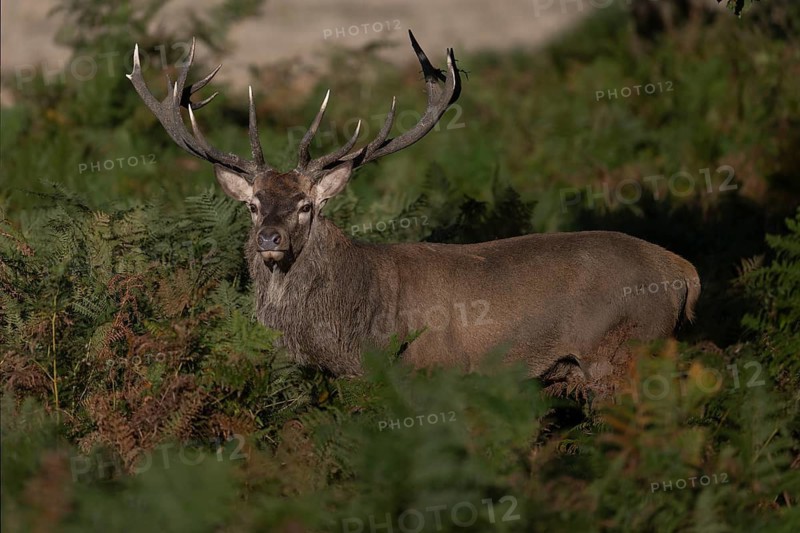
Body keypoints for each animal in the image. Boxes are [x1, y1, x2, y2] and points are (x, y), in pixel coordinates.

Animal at [128, 32, 700, 390]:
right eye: (252, 204)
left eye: (306, 205)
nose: (271, 238)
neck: (356, 336)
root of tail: (685, 272)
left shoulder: (435, 370)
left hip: (623, 349)